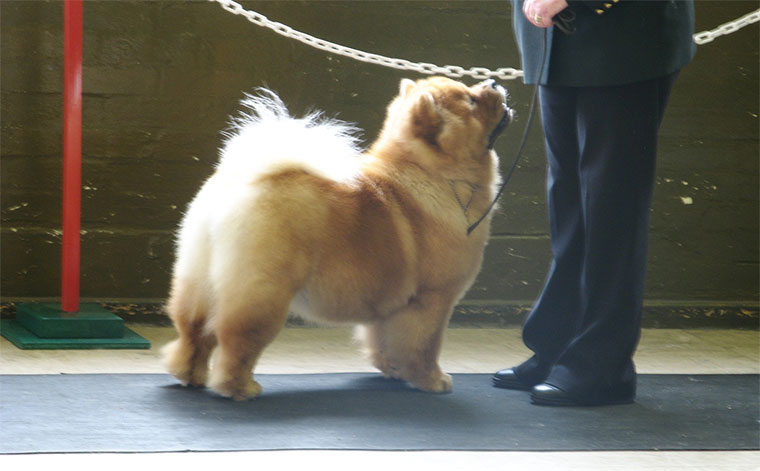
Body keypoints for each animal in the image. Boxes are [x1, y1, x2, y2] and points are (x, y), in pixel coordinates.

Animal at [163, 78, 512, 402]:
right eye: (471, 100)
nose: (494, 82)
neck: (435, 175)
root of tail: (243, 180)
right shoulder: (431, 300)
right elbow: (424, 345)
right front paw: (432, 381)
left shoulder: (389, 303)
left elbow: (383, 341)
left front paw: (393, 371)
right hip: (263, 290)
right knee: (236, 339)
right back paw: (238, 388)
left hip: (198, 279)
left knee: (193, 331)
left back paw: (189, 375)